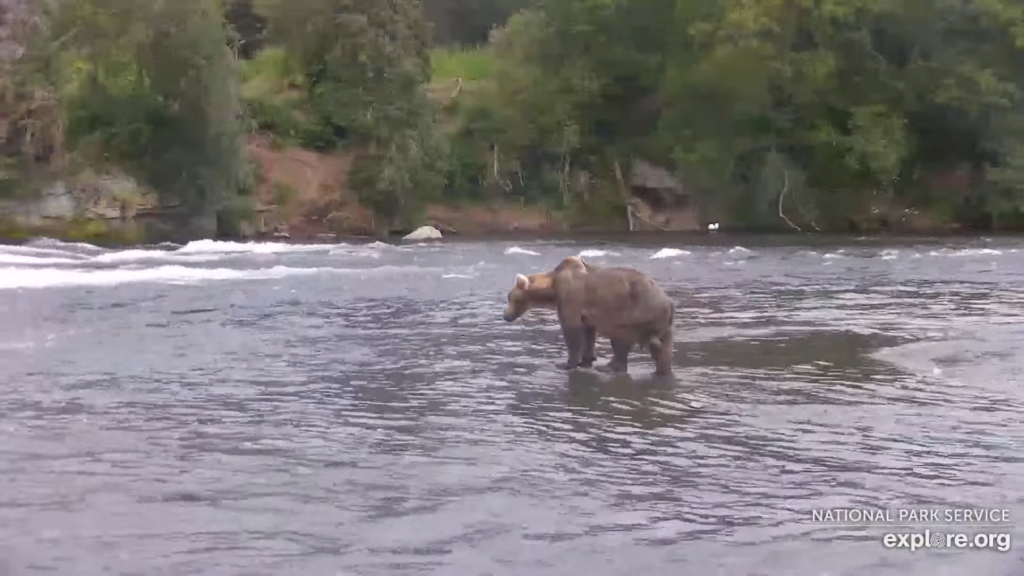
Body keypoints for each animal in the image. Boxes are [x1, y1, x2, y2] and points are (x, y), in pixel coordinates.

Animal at [501, 253, 675, 375]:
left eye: (511, 297)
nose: (505, 316)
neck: (552, 289)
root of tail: (669, 303)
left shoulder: (571, 298)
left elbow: (571, 329)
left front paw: (567, 363)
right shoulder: (586, 312)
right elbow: (588, 332)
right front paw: (586, 360)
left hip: (634, 311)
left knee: (622, 337)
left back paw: (609, 367)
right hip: (662, 323)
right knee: (663, 347)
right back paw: (661, 370)